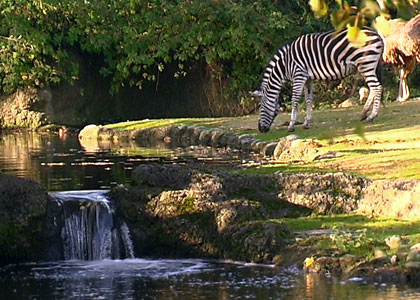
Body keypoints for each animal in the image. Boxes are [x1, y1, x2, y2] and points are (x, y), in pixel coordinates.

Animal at [253, 27, 384, 133]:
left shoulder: (299, 75)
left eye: (260, 106)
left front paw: (291, 125)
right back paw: (364, 114)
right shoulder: (308, 79)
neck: (285, 64)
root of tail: (376, 34)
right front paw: (306, 123)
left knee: (377, 87)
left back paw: (372, 116)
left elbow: (295, 100)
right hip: (368, 65)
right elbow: (308, 99)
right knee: (373, 88)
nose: (261, 129)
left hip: (366, 63)